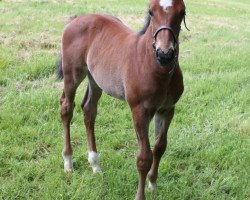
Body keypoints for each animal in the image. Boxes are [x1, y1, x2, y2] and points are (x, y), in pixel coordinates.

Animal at [58, 0, 187, 200]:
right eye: (151, 12)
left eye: (182, 12)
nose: (164, 54)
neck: (157, 70)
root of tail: (76, 18)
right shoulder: (139, 111)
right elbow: (144, 158)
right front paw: (140, 195)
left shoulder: (167, 109)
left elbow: (160, 147)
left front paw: (153, 184)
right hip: (72, 74)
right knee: (66, 108)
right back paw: (68, 162)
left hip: (95, 79)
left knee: (89, 110)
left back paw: (95, 164)